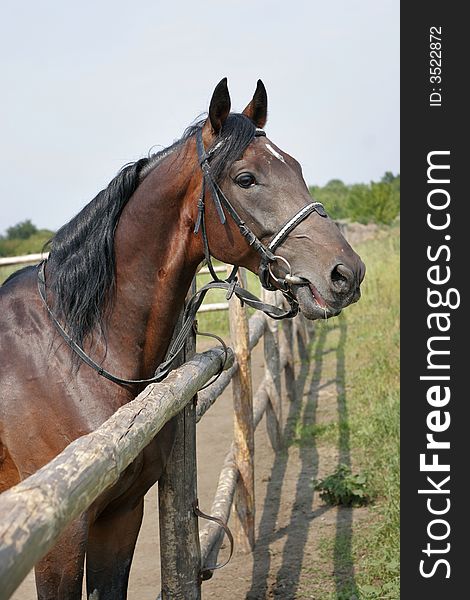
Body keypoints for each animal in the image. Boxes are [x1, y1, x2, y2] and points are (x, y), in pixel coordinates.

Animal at [0, 79, 366, 600]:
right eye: (246, 178)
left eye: (295, 166)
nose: (345, 273)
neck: (70, 354)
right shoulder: (61, 542)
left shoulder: (123, 513)